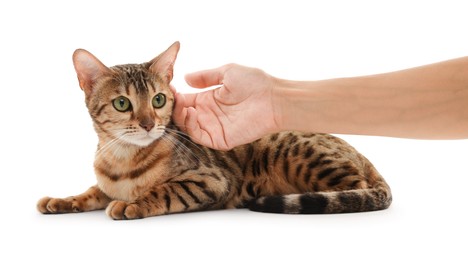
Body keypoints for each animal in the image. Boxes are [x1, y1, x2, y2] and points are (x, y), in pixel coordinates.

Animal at [35, 41, 392, 219]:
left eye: (158, 99)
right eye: (122, 104)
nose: (150, 124)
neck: (122, 159)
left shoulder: (211, 180)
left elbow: (162, 191)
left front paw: (132, 203)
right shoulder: (105, 183)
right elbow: (90, 192)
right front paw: (63, 200)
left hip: (294, 149)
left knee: (359, 191)